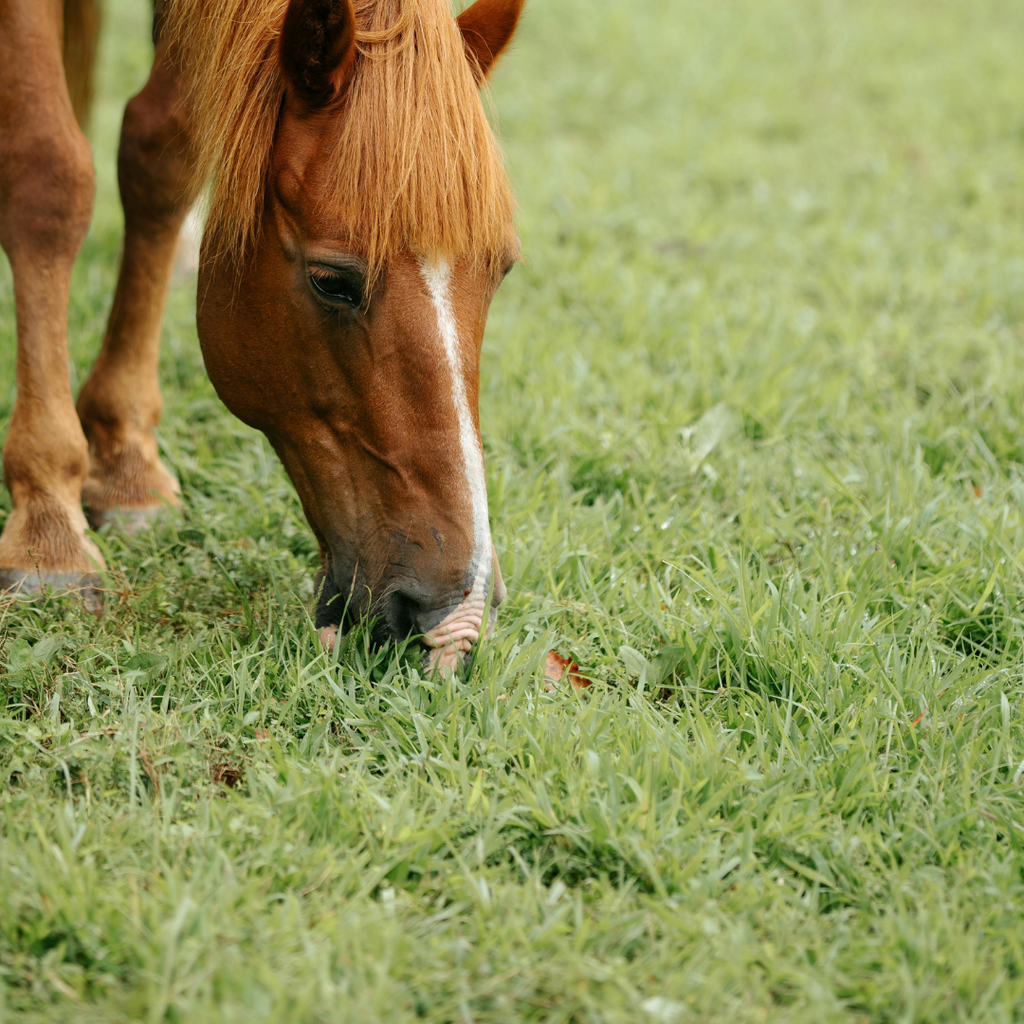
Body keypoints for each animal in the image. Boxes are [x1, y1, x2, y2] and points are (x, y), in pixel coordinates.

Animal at [0, 0, 524, 670]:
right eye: (331, 281)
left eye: (501, 271)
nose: (455, 618)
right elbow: (50, 178)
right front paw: (48, 527)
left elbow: (162, 152)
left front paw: (126, 464)